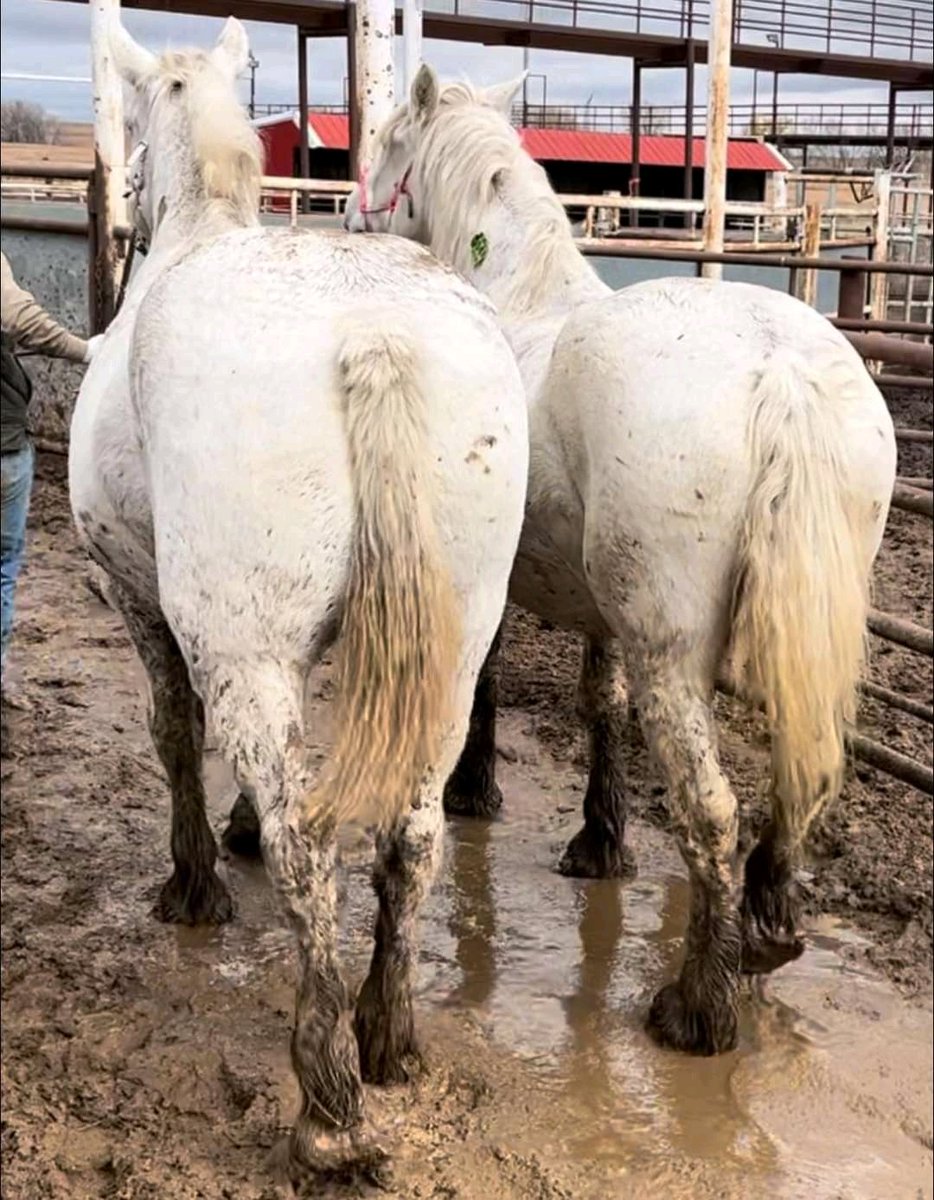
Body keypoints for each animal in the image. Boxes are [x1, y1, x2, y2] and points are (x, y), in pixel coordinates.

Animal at [69, 23, 528, 1178]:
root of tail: (370, 335)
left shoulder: (138, 594)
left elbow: (176, 732)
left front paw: (194, 881)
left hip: (248, 650)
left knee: (307, 844)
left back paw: (328, 1109)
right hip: (452, 661)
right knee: (411, 840)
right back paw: (387, 1037)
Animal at [344, 66, 897, 1056]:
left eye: (389, 143)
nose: (351, 217)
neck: (518, 296)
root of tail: (784, 374)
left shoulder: (506, 589)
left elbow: (490, 683)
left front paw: (477, 791)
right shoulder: (599, 606)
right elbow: (600, 705)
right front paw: (600, 843)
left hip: (671, 652)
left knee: (712, 812)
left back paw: (697, 1007)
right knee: (796, 781)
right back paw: (765, 933)